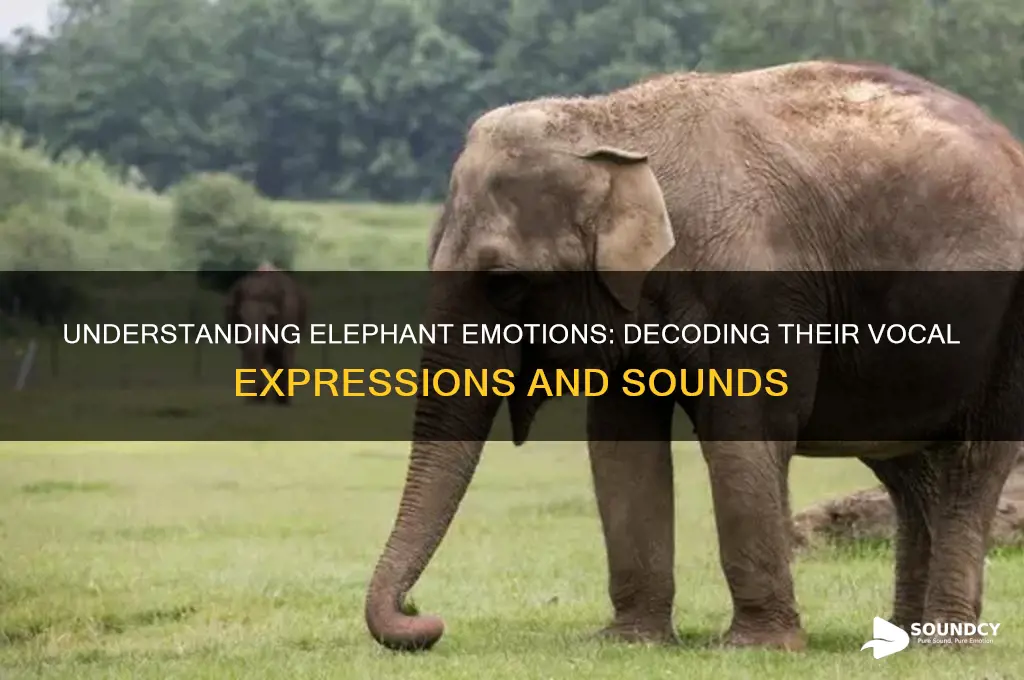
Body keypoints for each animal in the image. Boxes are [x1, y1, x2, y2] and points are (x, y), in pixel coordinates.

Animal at [224, 261, 307, 405]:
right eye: (240, 317)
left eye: (271, 317)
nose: (250, 400)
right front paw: (257, 400)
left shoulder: (290, 316)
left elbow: (285, 353)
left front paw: (281, 401)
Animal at [364, 60, 1024, 652]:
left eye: (503, 281)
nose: (423, 616)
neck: (608, 123)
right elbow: (621, 441)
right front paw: (628, 642)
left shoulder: (754, 285)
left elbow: (745, 430)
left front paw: (755, 648)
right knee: (907, 470)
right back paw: (905, 637)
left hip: (1007, 329)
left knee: (971, 461)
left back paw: (944, 645)